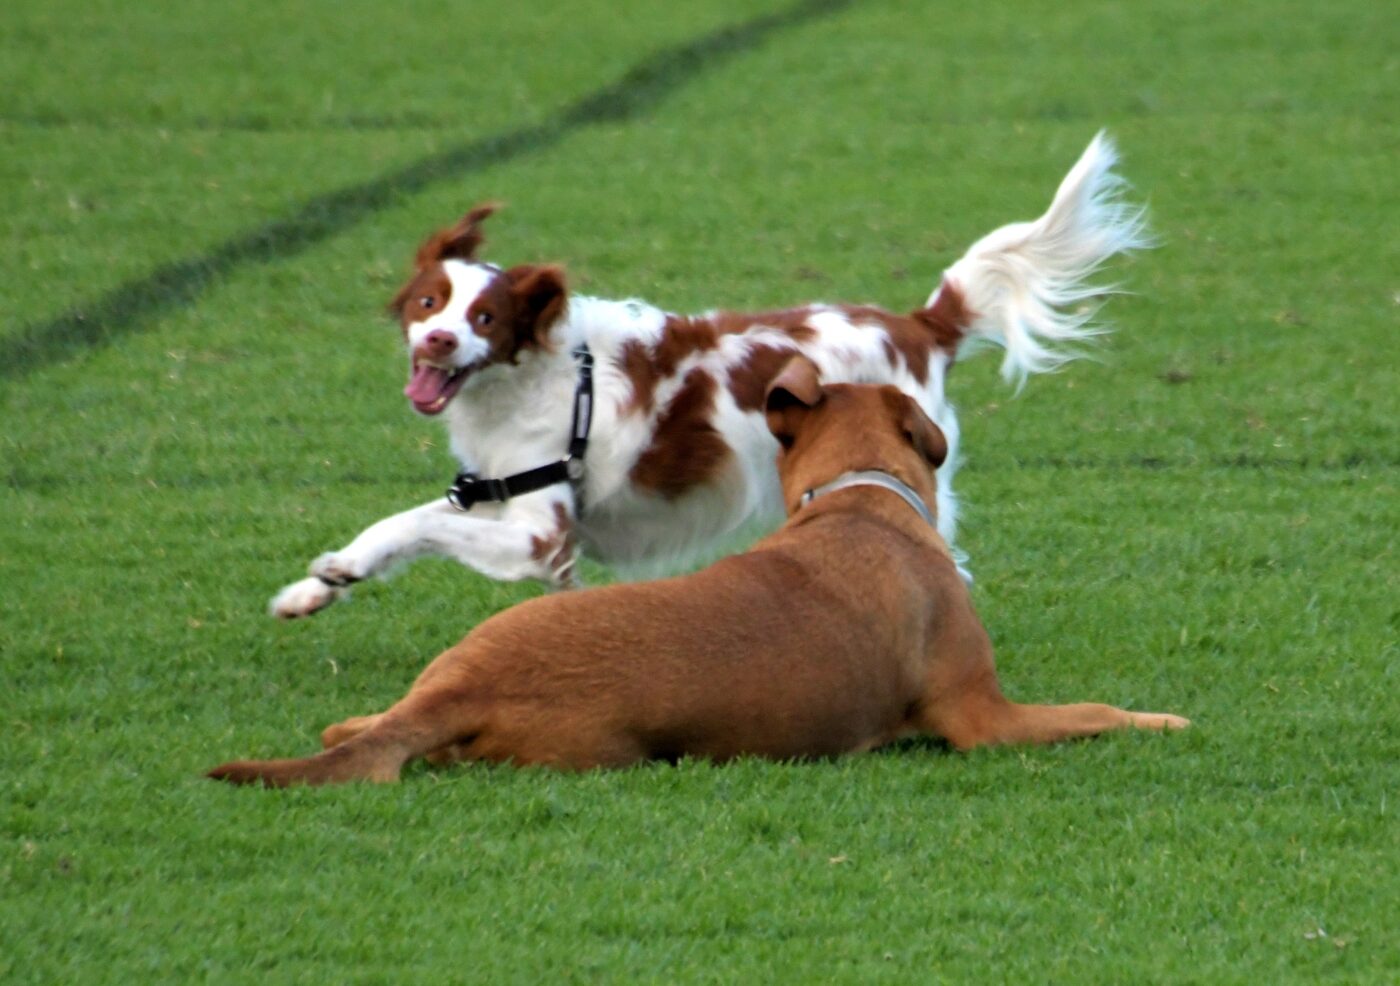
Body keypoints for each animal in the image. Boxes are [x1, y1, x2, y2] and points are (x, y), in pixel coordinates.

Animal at [210, 358, 1192, 789]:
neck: (858, 494)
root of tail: (458, 690)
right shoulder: (985, 719)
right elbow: (1097, 712)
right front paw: (1163, 719)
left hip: (460, 656)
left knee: (352, 726)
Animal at [270, 130, 1148, 616]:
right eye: (429, 301)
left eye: (485, 319)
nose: (437, 344)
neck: (528, 382)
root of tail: (918, 323)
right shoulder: (497, 498)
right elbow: (403, 526)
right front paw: (320, 584)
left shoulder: (539, 532)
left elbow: (417, 524)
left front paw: (336, 569)